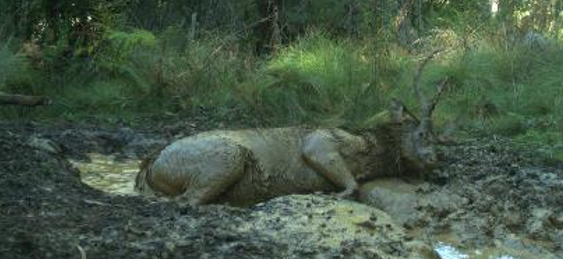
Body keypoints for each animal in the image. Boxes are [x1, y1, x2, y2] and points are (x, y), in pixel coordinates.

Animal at [134, 51, 448, 208]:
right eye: (422, 134)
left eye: (438, 138)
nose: (434, 159)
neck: (373, 151)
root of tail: (149, 167)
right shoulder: (319, 141)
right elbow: (351, 185)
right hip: (228, 157)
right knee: (187, 200)